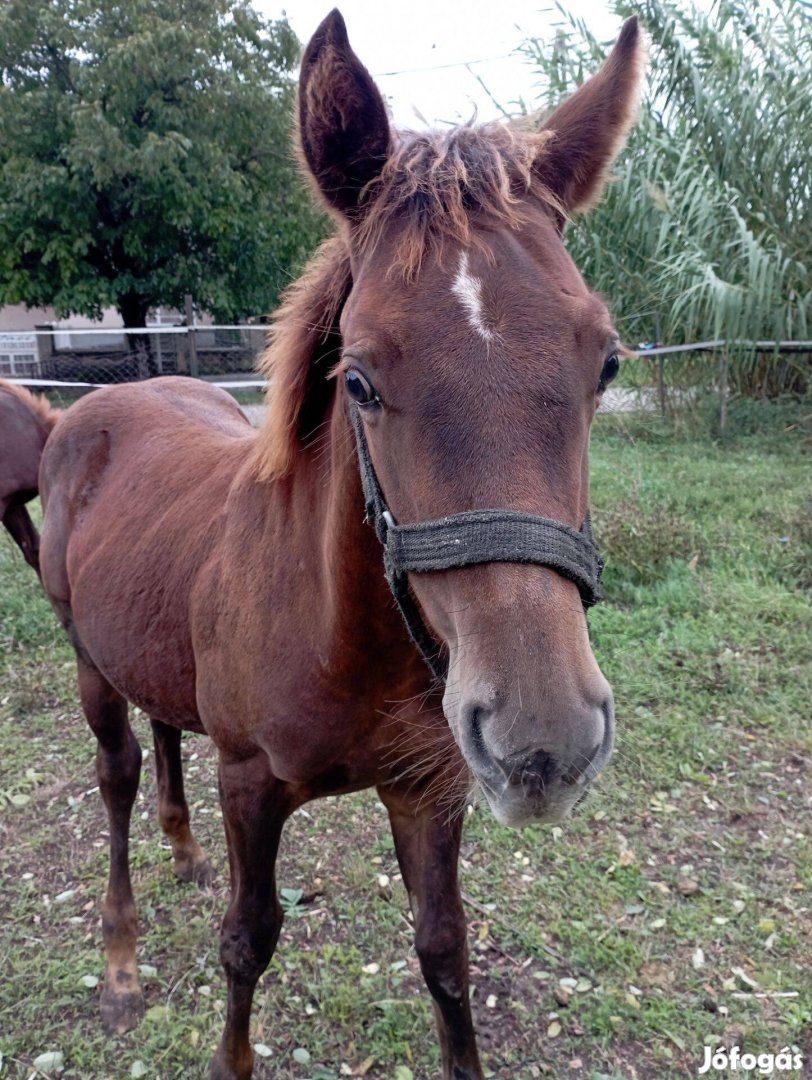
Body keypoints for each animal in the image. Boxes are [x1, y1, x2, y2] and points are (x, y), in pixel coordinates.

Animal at [38, 10, 647, 1080]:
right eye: (357, 379)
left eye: (606, 361)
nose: (543, 745)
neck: (342, 633)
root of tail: (107, 401)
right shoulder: (250, 781)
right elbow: (248, 940)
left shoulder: (431, 792)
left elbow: (445, 952)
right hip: (88, 664)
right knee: (115, 778)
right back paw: (118, 963)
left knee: (164, 729)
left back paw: (181, 850)